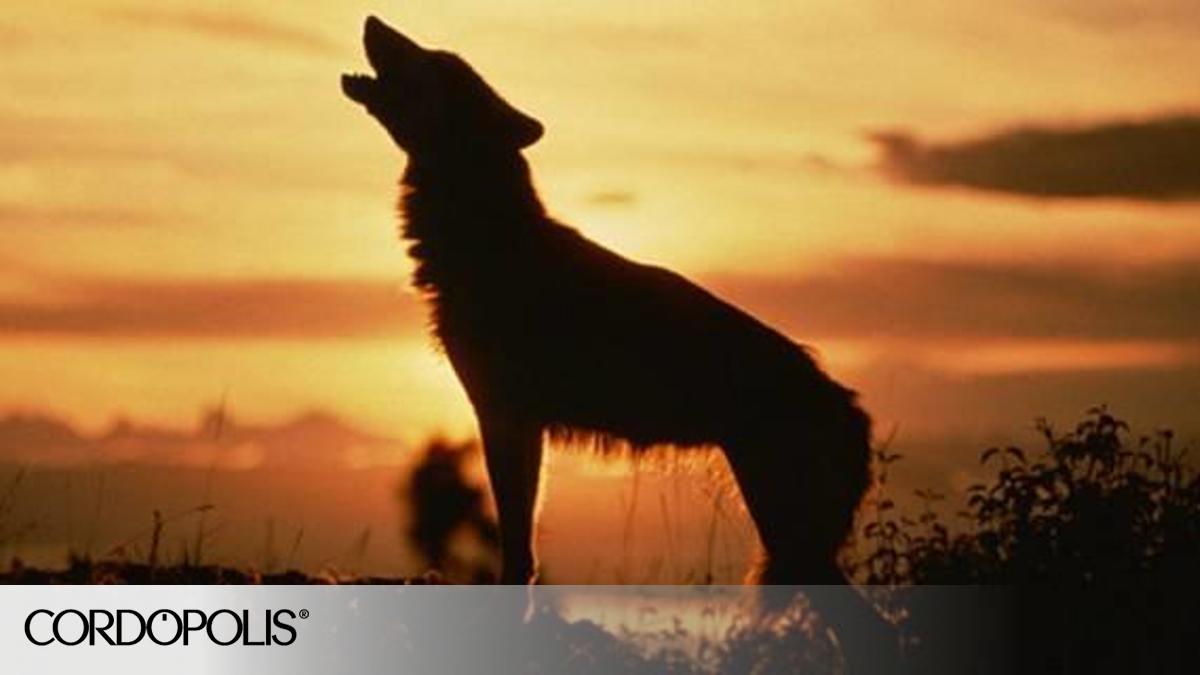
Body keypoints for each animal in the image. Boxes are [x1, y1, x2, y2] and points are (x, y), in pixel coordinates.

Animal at [343, 15, 894, 669]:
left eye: (433, 59)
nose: (372, 19)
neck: (486, 237)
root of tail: (850, 406)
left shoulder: (506, 417)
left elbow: (516, 553)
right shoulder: (519, 424)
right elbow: (522, 552)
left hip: (787, 536)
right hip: (789, 540)